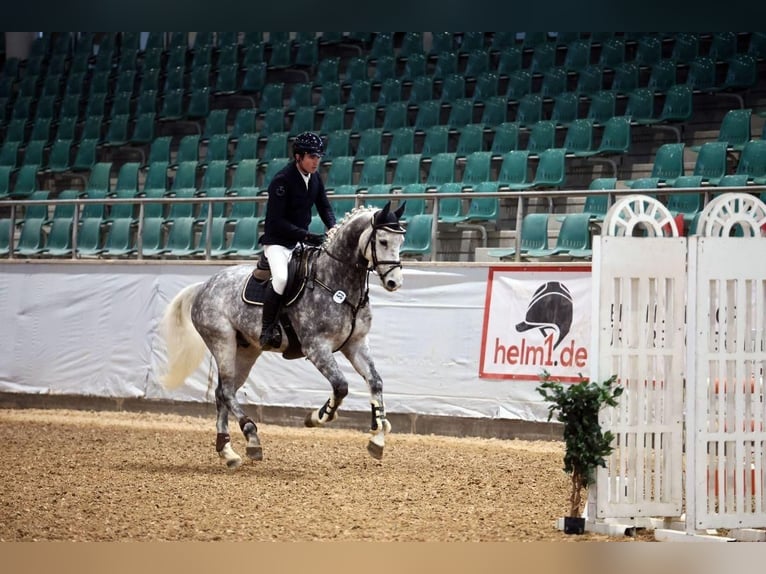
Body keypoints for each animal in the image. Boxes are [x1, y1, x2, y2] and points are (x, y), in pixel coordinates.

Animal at [160, 205, 408, 470]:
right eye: (382, 241)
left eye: (400, 241)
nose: (394, 282)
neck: (336, 281)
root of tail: (204, 285)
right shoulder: (316, 347)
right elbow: (341, 386)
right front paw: (317, 417)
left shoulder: (356, 344)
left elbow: (376, 382)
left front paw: (378, 436)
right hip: (222, 341)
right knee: (226, 391)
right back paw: (251, 436)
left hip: (246, 350)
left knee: (222, 392)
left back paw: (228, 452)